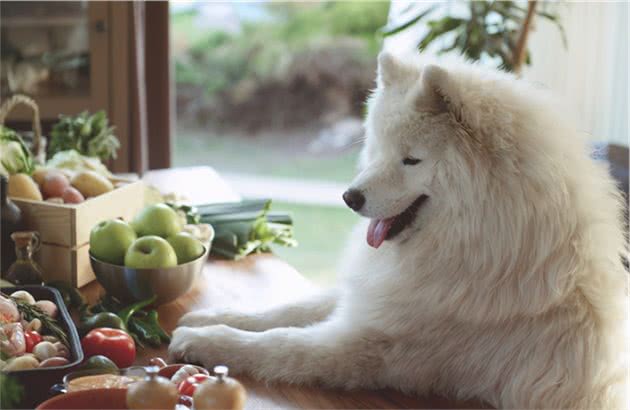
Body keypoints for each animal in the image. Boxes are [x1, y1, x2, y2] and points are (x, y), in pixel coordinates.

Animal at [170, 52, 628, 408]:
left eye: (411, 160)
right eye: (378, 148)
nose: (348, 197)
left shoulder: (371, 345)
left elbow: (281, 342)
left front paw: (205, 339)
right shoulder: (383, 294)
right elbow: (289, 308)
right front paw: (215, 314)